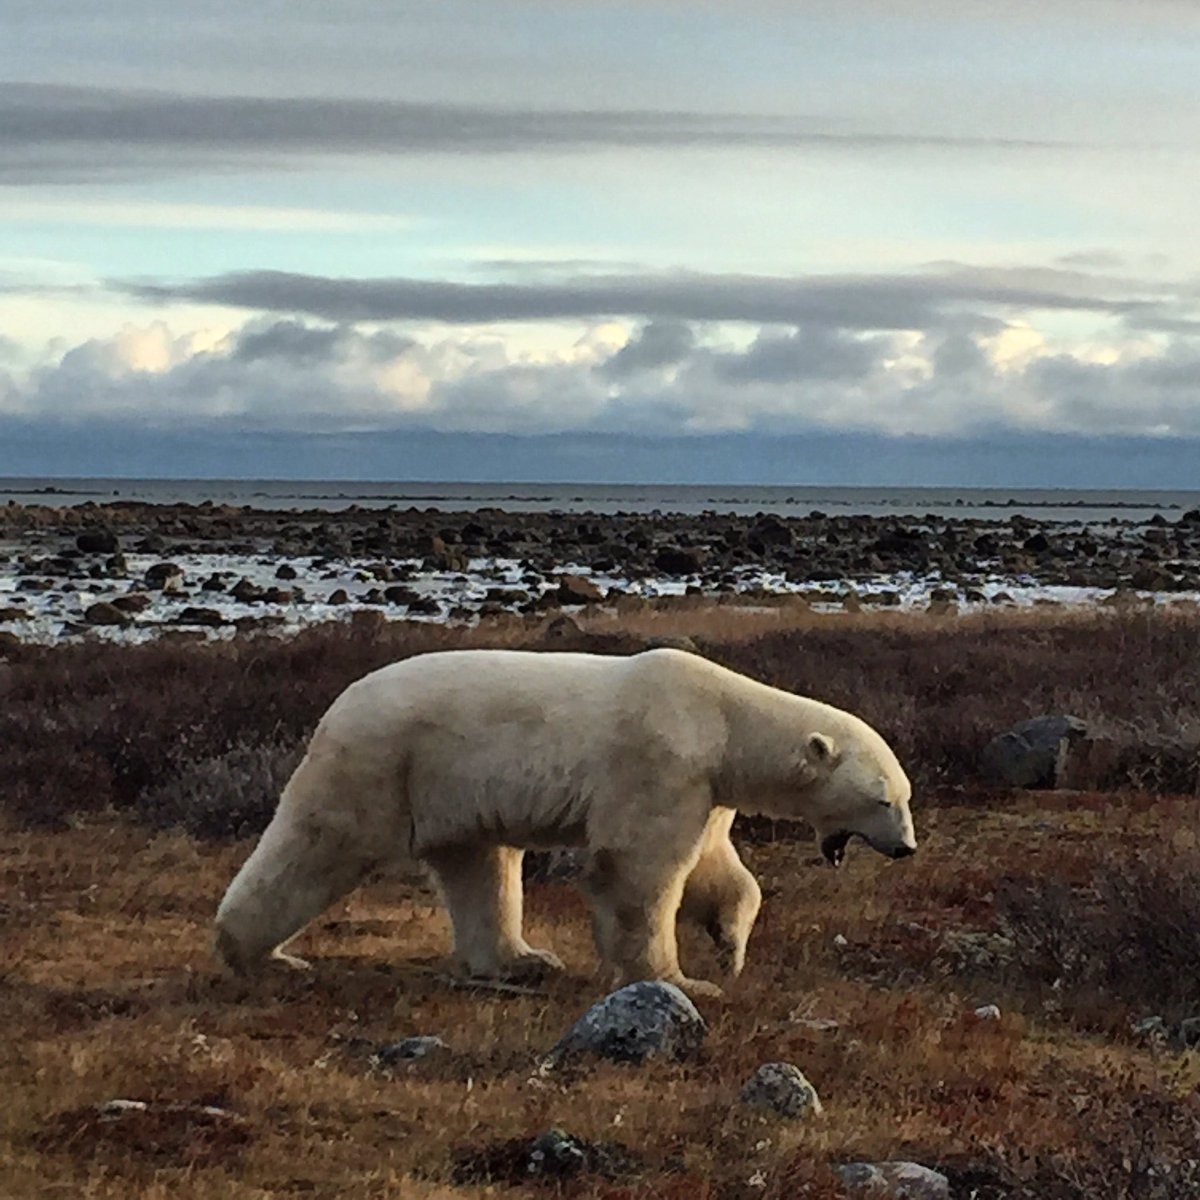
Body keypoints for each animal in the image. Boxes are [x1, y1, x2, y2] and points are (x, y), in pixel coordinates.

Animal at [214, 647, 917, 999]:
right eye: (884, 800)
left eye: (905, 796)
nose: (907, 848)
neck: (722, 719)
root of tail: (335, 706)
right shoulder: (661, 760)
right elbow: (636, 870)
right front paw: (678, 979)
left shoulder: (706, 788)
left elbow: (720, 870)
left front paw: (731, 947)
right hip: (382, 761)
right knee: (319, 844)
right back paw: (260, 956)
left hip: (450, 785)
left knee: (481, 866)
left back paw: (522, 960)